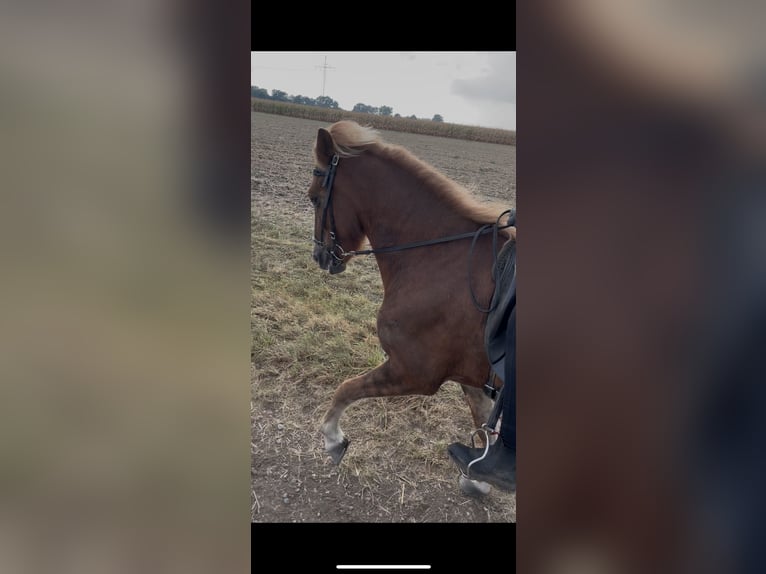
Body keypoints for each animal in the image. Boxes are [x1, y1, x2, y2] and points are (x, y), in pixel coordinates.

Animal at [305, 120, 515, 465]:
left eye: (313, 198)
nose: (319, 256)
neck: (438, 255)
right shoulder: (470, 379)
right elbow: (484, 428)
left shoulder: (412, 372)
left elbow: (346, 387)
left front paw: (332, 438)